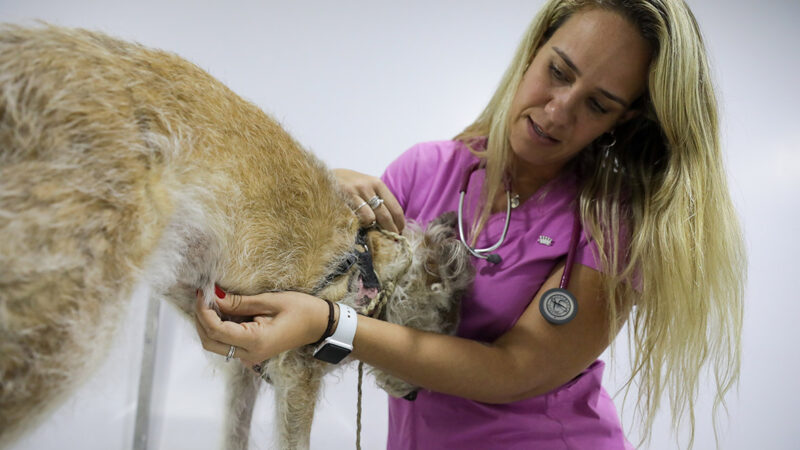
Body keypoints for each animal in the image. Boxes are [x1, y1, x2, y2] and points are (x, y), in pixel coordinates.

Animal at [0, 25, 476, 450]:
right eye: (442, 325)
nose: (415, 395)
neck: (373, 263)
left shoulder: (244, 368)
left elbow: (235, 432)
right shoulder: (297, 380)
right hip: (62, 327)